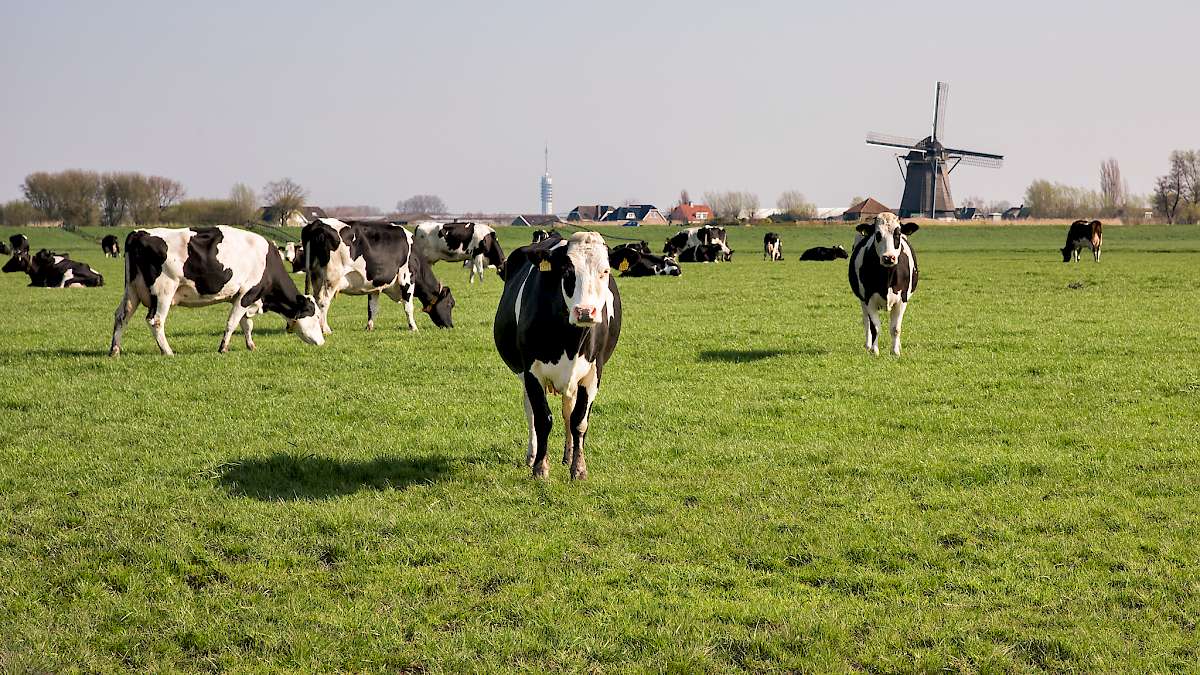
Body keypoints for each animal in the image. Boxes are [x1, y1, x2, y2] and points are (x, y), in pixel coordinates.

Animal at [107, 224, 321, 355]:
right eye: (315, 315)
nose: (322, 342)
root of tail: (139, 233)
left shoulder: (242, 297)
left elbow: (246, 324)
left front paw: (251, 345)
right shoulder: (247, 294)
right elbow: (232, 323)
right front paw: (223, 348)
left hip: (132, 290)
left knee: (121, 316)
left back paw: (114, 350)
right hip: (163, 292)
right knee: (156, 321)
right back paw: (168, 351)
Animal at [300, 218, 453, 331]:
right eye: (451, 304)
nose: (451, 326)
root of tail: (316, 224)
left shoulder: (374, 286)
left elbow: (372, 308)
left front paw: (369, 327)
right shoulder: (407, 279)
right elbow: (408, 306)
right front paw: (413, 327)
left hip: (316, 277)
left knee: (315, 300)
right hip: (331, 278)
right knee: (323, 301)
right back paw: (325, 329)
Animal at [496, 230, 628, 478]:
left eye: (605, 271)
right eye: (567, 271)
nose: (585, 311)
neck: (570, 341)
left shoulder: (593, 373)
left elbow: (579, 420)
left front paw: (579, 468)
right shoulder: (532, 371)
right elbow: (542, 418)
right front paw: (540, 468)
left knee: (568, 410)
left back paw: (568, 455)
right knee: (530, 411)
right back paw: (532, 455)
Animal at [849, 212, 921, 355]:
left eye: (898, 233)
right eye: (877, 234)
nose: (888, 257)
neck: (887, 277)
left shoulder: (902, 299)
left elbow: (896, 328)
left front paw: (895, 351)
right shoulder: (869, 299)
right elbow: (875, 327)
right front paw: (874, 350)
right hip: (862, 300)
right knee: (866, 322)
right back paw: (868, 345)